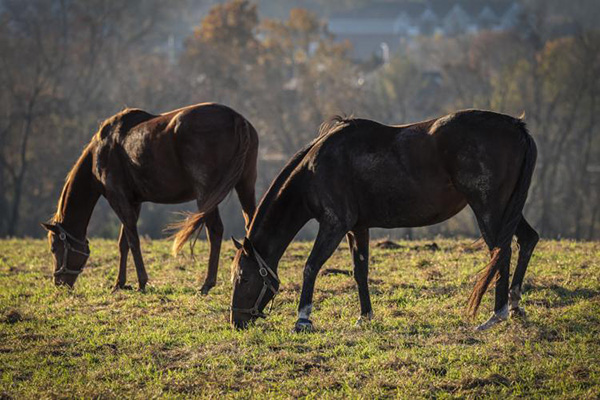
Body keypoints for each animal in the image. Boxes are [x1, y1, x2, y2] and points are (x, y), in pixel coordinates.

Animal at [41, 101, 258, 292]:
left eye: (54, 247)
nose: (59, 283)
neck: (101, 151)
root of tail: (236, 118)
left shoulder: (118, 199)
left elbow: (133, 242)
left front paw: (141, 282)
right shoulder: (133, 202)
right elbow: (123, 243)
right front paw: (119, 283)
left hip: (206, 195)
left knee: (215, 231)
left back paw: (207, 283)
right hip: (245, 186)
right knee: (250, 223)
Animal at [230, 109, 540, 332]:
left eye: (243, 277)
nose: (236, 322)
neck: (315, 170)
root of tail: (516, 127)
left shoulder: (334, 225)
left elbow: (311, 266)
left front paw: (303, 319)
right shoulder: (357, 228)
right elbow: (360, 271)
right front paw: (365, 316)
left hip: (488, 208)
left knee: (501, 252)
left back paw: (496, 314)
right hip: (507, 209)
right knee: (527, 240)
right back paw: (513, 305)